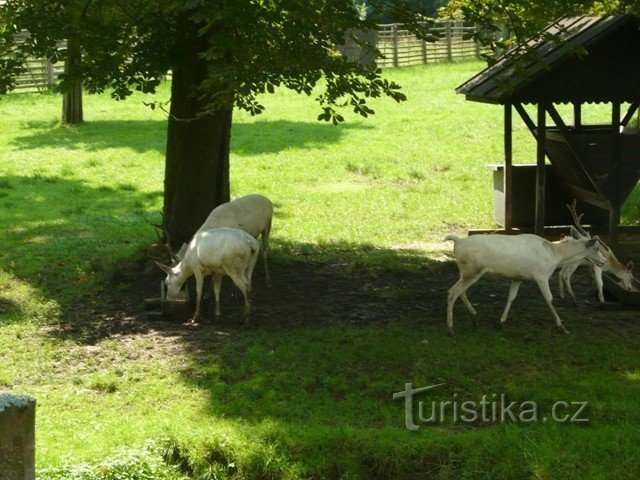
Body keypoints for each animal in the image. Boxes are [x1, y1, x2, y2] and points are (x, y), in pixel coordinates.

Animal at [444, 232, 604, 334]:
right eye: (597, 248)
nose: (603, 262)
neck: (554, 256)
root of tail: (458, 241)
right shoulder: (541, 275)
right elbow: (549, 299)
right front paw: (563, 327)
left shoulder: (518, 277)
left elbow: (511, 297)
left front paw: (501, 322)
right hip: (472, 270)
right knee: (452, 292)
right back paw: (451, 328)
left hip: (467, 272)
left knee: (461, 292)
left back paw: (475, 317)